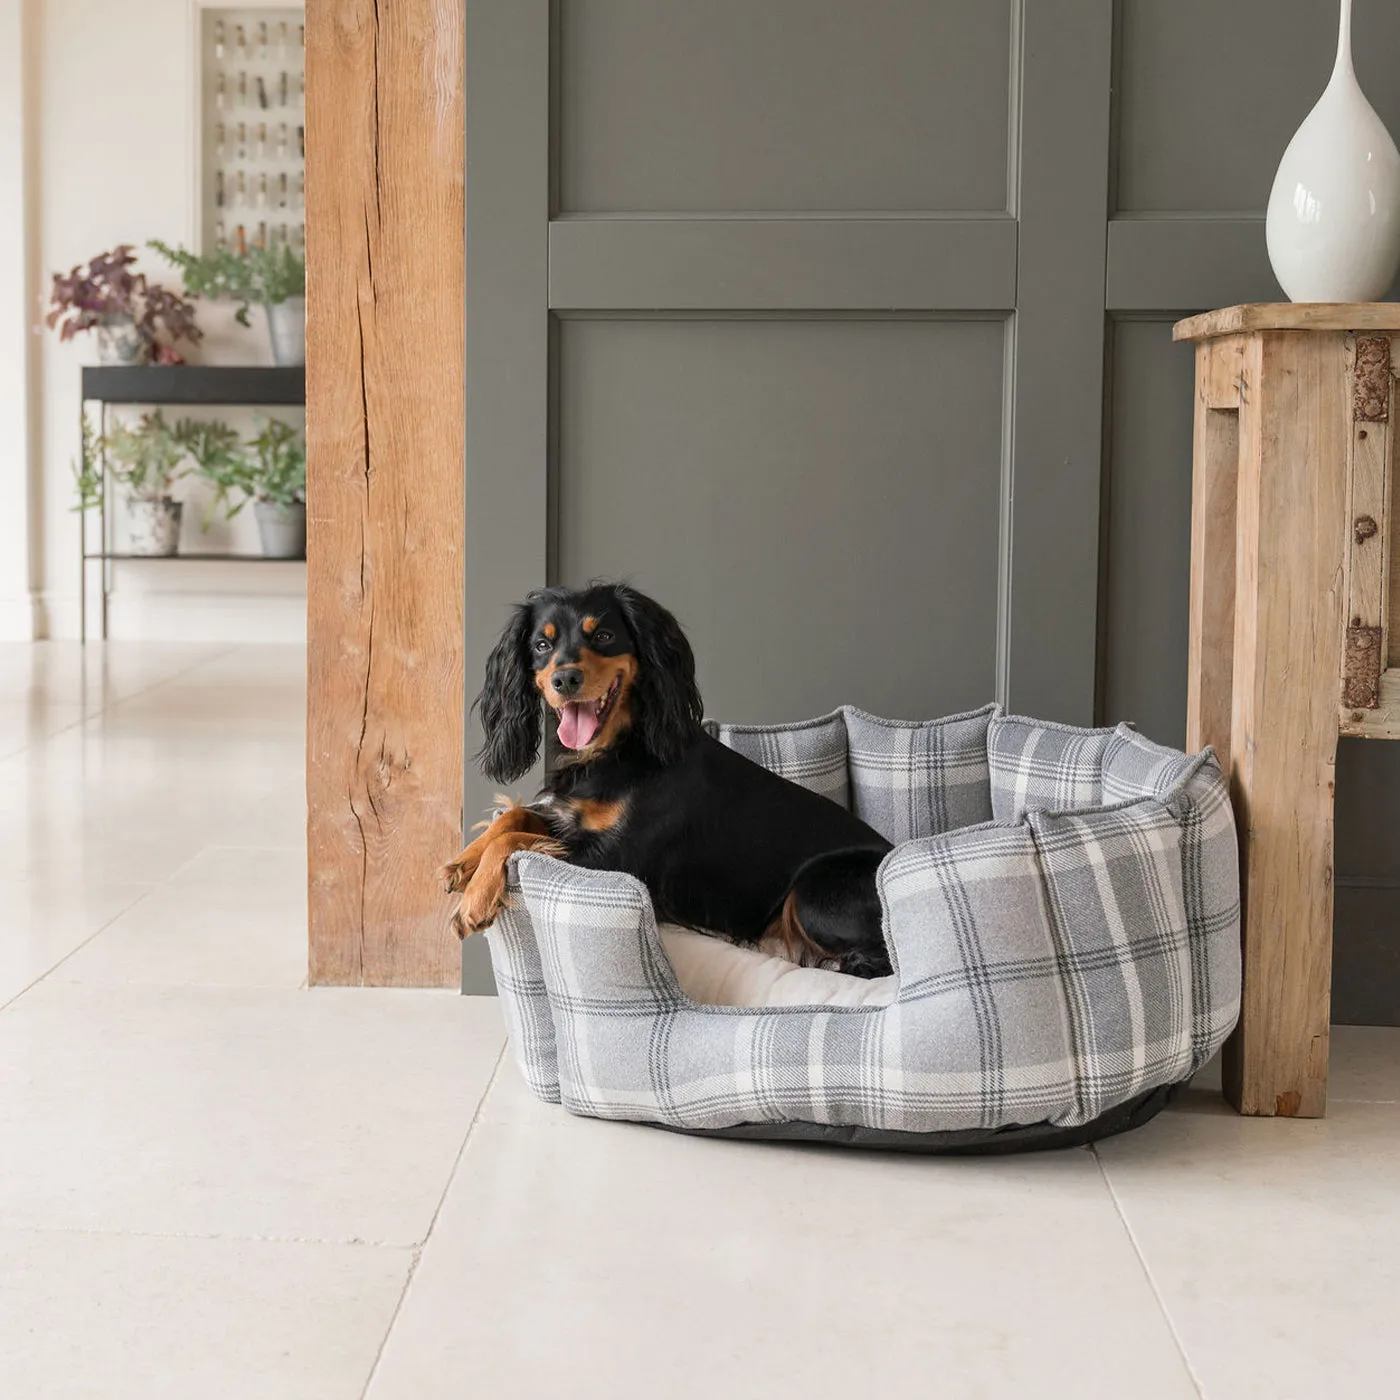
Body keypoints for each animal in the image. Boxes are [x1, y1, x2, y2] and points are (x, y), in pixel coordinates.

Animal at [439, 579, 884, 974]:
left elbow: (518, 840)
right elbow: (516, 818)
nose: (565, 679)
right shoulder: (571, 820)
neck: (615, 751)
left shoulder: (616, 858)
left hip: (815, 894)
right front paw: (463, 864)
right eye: (542, 645)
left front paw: (474, 900)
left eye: (604, 635)